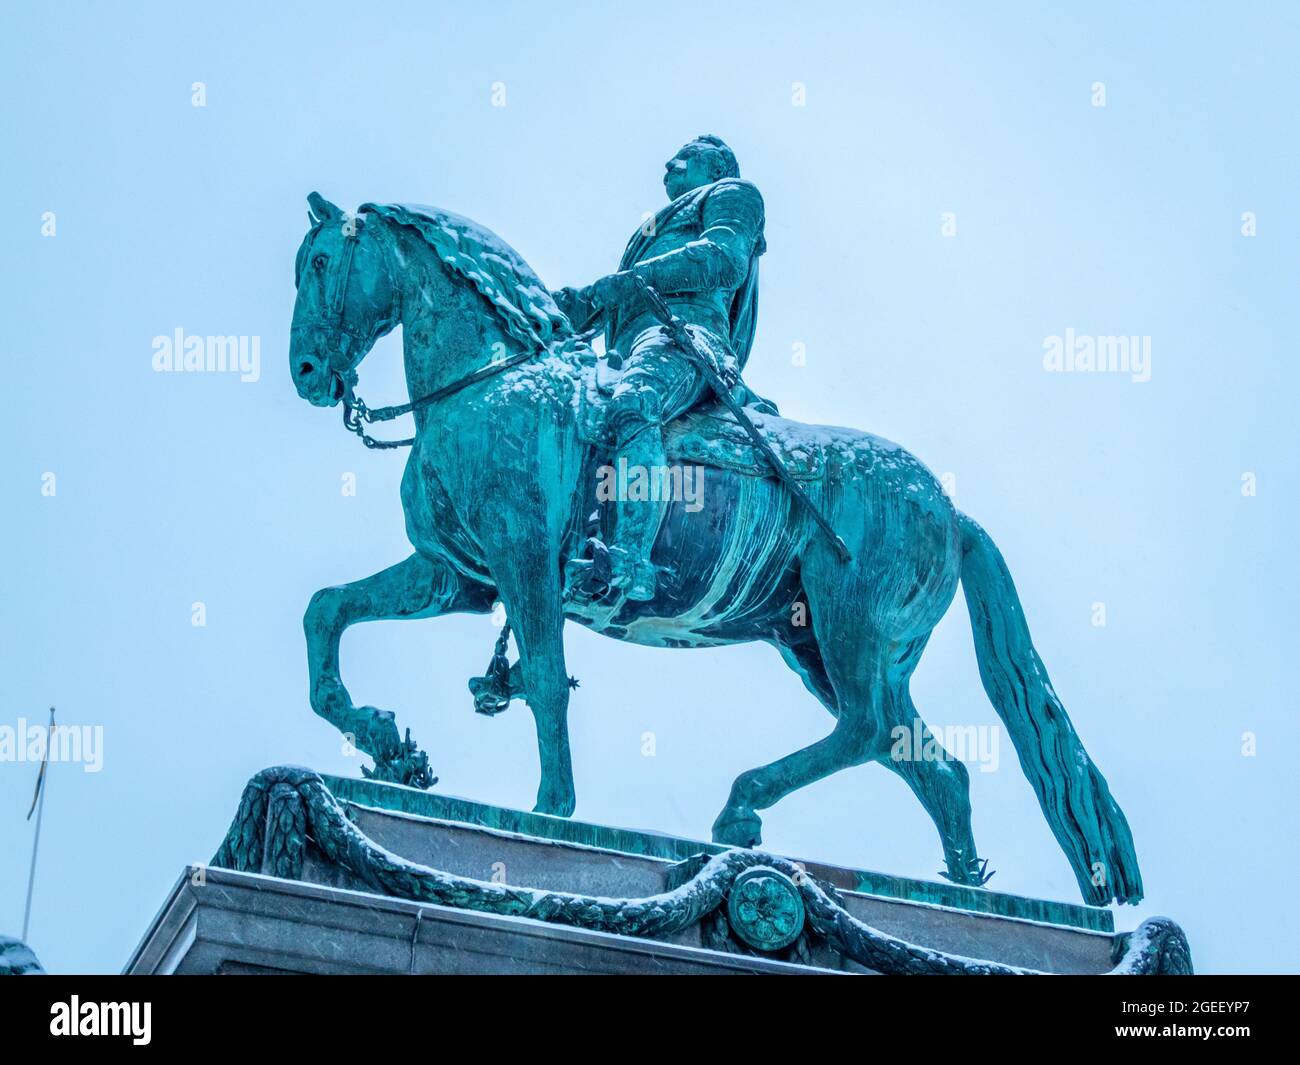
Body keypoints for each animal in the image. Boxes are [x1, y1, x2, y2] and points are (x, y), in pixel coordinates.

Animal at [289, 193, 1144, 910]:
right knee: (929, 760)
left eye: (322, 262)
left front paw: (550, 810)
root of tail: (952, 508)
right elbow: (325, 610)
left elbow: (545, 680)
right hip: (822, 644)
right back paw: (961, 885)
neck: (493, 381)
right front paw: (389, 746)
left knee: (870, 730)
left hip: (849, 623)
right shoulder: (456, 576)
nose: (304, 372)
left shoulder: (522, 561)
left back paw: (742, 808)